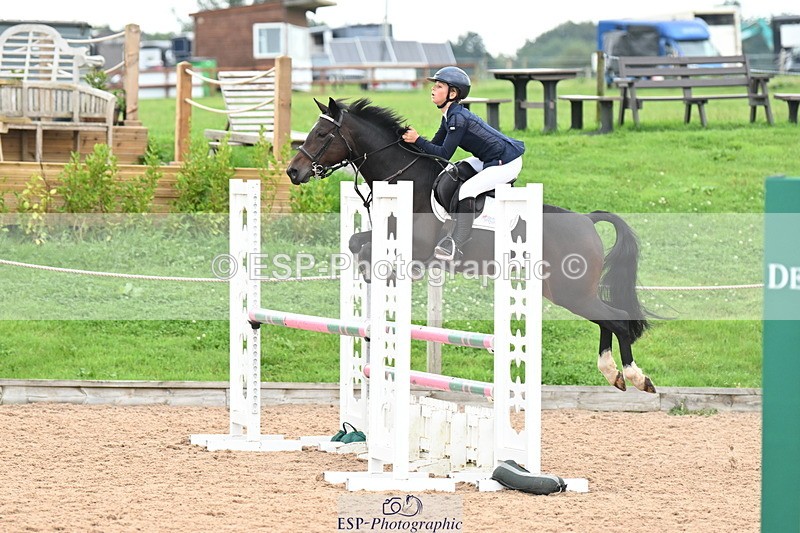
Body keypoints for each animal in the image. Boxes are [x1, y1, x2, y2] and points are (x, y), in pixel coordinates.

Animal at [286, 97, 656, 393]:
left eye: (322, 135)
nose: (293, 171)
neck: (406, 178)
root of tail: (587, 220)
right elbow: (356, 243)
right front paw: (370, 282)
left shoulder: (418, 247)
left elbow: (374, 251)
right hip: (566, 292)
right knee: (605, 320)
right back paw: (612, 373)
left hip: (571, 292)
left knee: (618, 320)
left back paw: (636, 377)